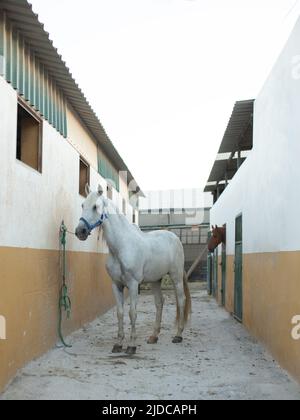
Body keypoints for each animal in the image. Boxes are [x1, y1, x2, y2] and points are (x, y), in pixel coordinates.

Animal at [76, 185, 191, 352]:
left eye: (95, 207)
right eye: (82, 205)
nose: (80, 231)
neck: (121, 247)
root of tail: (175, 238)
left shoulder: (133, 284)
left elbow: (132, 313)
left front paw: (131, 345)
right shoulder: (116, 285)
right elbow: (120, 313)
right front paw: (118, 344)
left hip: (176, 277)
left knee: (181, 300)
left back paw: (178, 335)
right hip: (156, 280)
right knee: (159, 302)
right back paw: (154, 336)